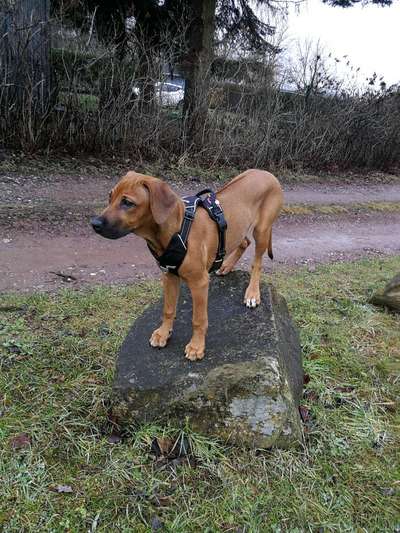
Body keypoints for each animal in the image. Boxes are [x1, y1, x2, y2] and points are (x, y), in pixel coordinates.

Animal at [92, 170, 282, 362]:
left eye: (127, 202)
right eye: (110, 197)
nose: (94, 224)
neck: (175, 230)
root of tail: (267, 173)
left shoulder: (199, 283)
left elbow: (198, 319)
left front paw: (196, 346)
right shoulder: (169, 275)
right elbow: (168, 309)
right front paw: (163, 333)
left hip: (262, 229)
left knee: (257, 262)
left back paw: (252, 293)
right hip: (236, 229)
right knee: (244, 241)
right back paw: (226, 266)